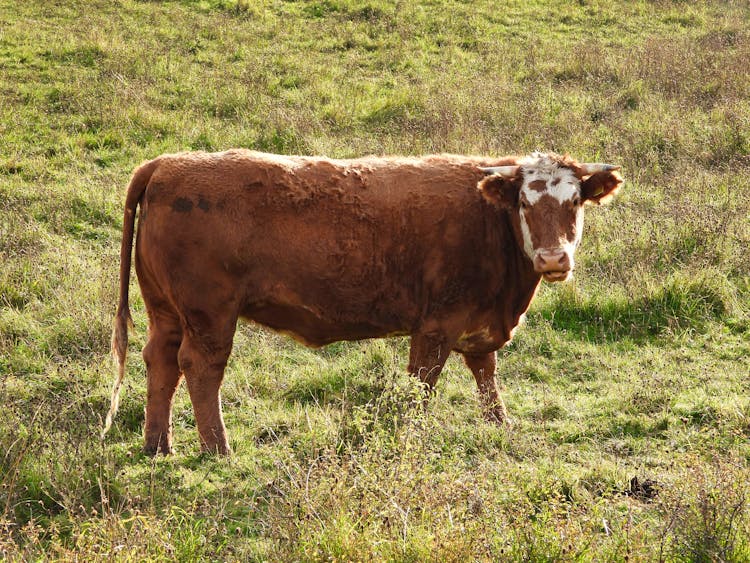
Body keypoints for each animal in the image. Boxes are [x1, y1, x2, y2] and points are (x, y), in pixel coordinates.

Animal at [103, 149, 624, 454]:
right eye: (525, 203)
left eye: (574, 202)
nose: (553, 258)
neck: (487, 216)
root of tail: (168, 163)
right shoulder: (436, 326)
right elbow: (421, 386)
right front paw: (411, 436)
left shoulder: (478, 323)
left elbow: (486, 375)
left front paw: (500, 426)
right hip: (209, 315)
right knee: (200, 366)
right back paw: (217, 448)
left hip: (167, 312)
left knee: (161, 361)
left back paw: (158, 445)